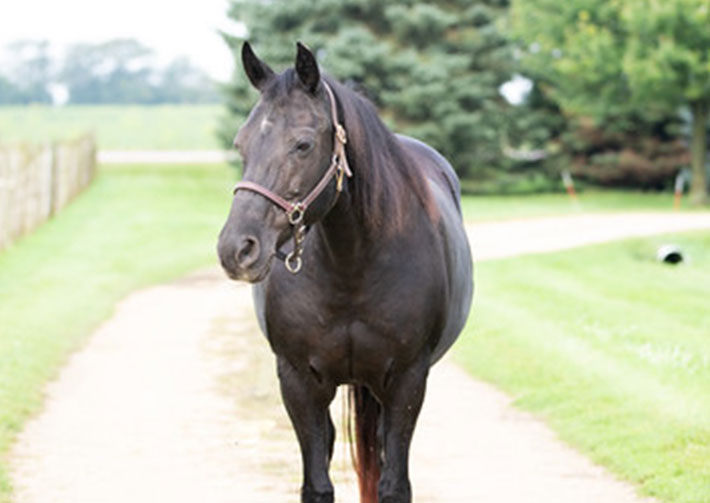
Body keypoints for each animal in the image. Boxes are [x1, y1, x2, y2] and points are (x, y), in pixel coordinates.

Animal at [217, 41, 473, 503]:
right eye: (241, 145)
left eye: (302, 144)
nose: (237, 248)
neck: (352, 265)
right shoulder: (298, 382)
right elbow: (317, 485)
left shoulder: (408, 381)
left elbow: (394, 485)